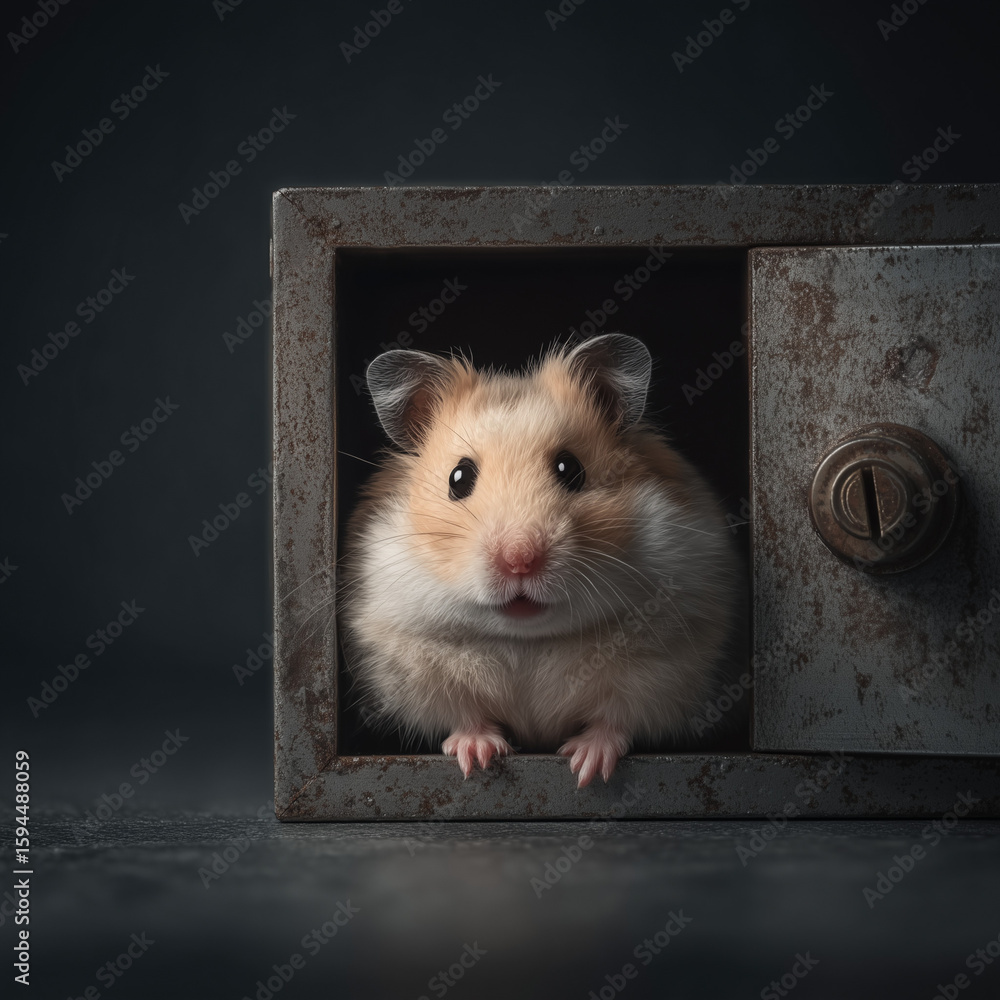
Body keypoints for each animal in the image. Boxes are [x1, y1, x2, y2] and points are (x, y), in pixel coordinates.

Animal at [339, 334, 743, 788]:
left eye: (571, 469)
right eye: (458, 478)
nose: (519, 560)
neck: (526, 639)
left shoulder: (671, 660)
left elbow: (617, 719)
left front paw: (586, 767)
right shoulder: (408, 657)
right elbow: (463, 714)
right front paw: (478, 756)